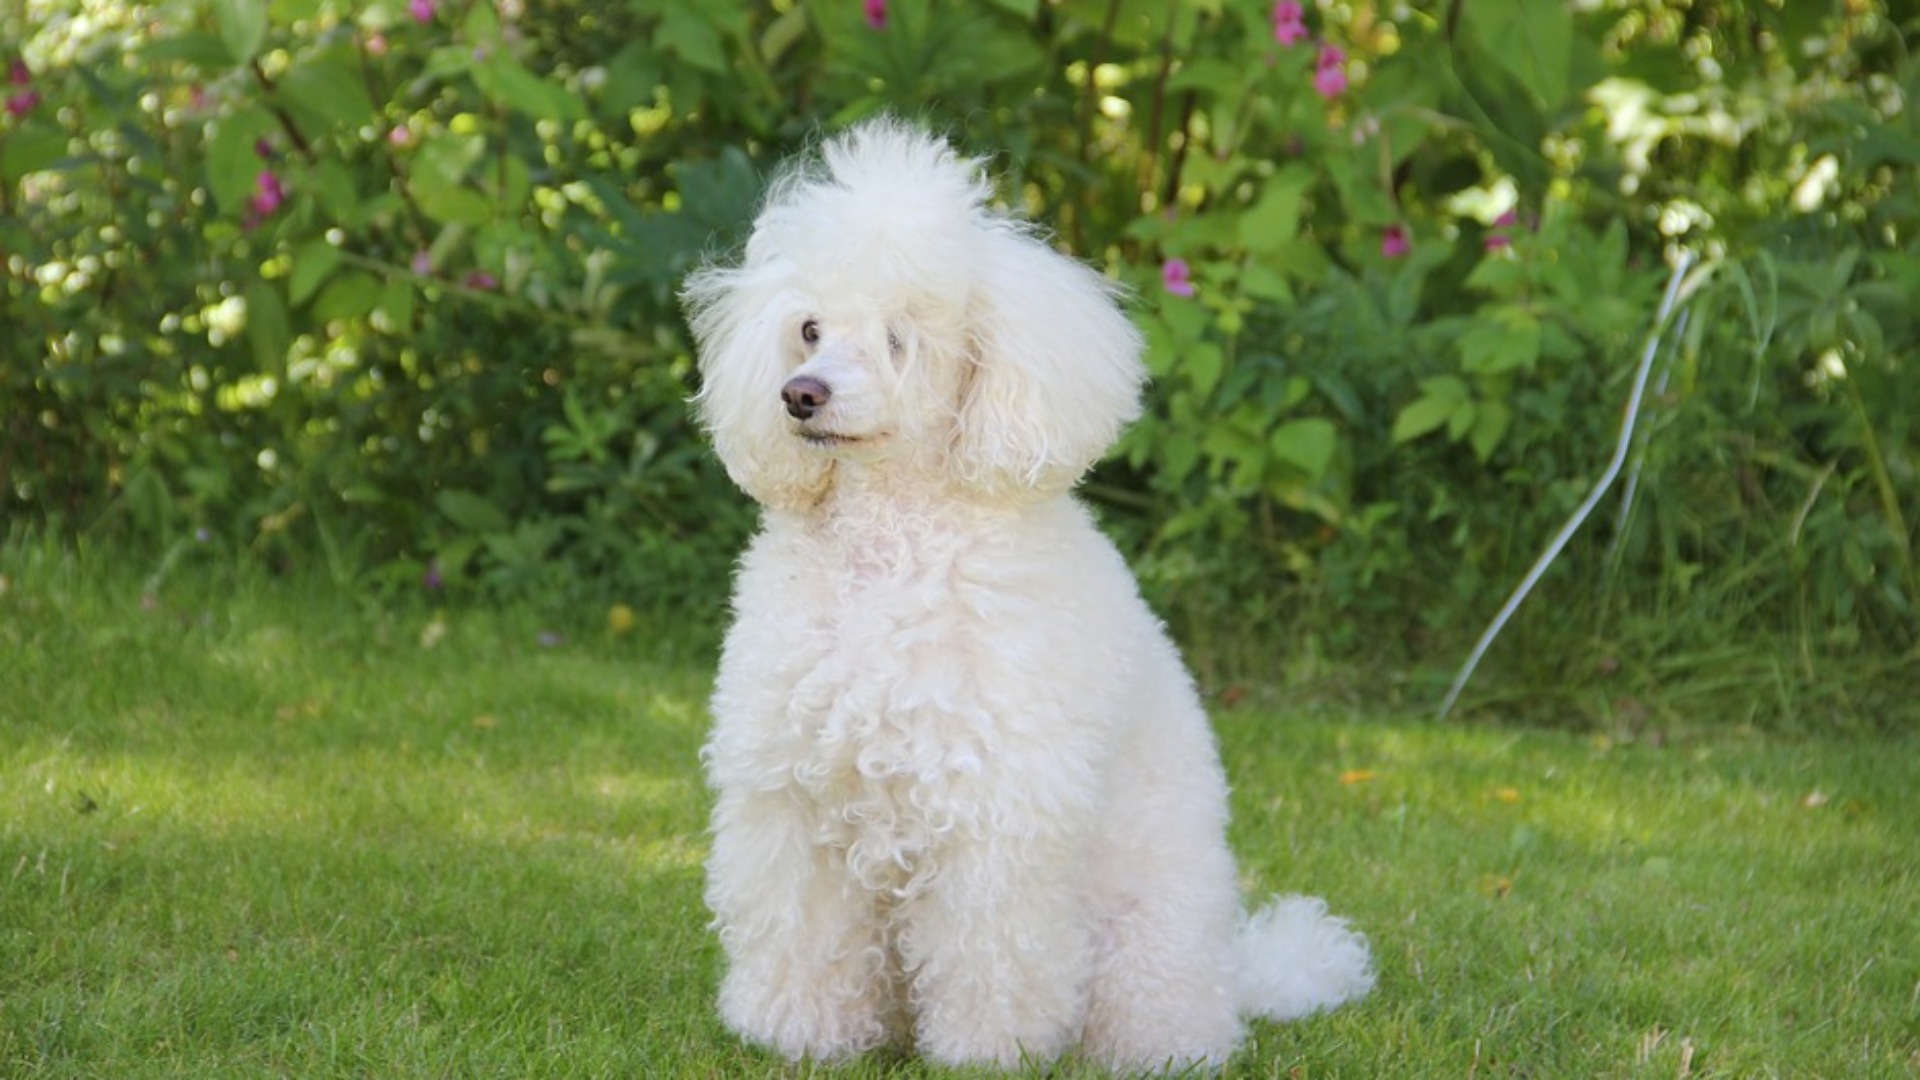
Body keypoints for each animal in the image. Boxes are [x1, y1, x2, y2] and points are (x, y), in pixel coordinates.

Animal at [683, 119, 1374, 1068]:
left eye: (901, 337)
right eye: (809, 328)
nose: (799, 395)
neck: (890, 551)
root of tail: (1235, 977)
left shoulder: (995, 813)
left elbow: (990, 954)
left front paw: (987, 1053)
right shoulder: (793, 798)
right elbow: (804, 932)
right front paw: (798, 1035)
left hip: (1145, 941)